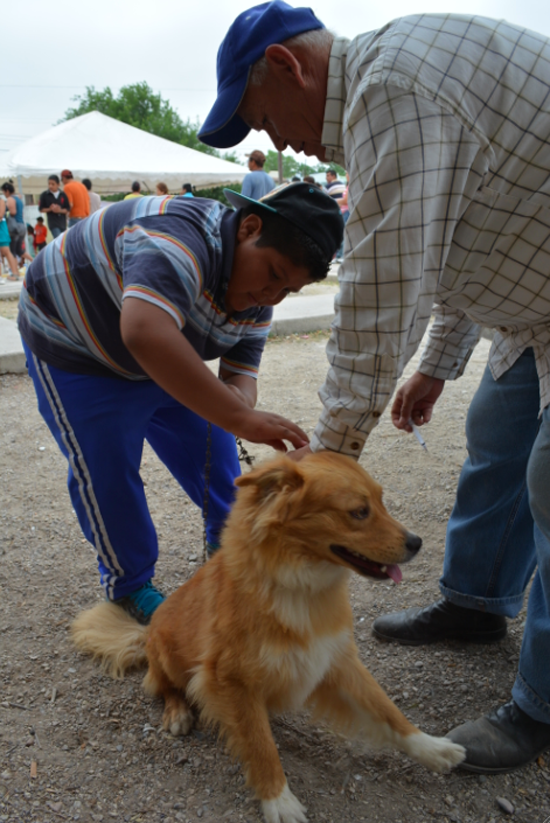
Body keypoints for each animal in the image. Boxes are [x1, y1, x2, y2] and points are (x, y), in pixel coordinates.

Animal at [70, 454, 466, 823]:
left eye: (382, 503)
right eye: (359, 512)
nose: (416, 543)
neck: (299, 584)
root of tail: (147, 629)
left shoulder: (335, 659)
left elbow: (386, 709)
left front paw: (433, 749)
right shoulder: (231, 679)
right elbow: (261, 746)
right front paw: (279, 801)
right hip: (167, 653)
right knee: (163, 685)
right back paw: (178, 711)